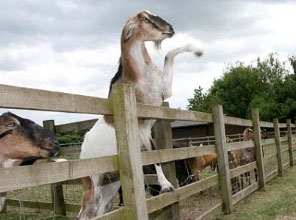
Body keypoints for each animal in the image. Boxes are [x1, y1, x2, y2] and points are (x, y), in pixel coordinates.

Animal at [76, 9, 204, 219]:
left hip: (110, 184)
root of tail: (82, 151)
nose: (170, 29)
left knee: (98, 210)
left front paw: (197, 49)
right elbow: (154, 153)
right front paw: (166, 186)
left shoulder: (163, 92)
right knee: (86, 212)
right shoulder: (141, 128)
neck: (139, 77)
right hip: (92, 181)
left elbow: (169, 54)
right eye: (144, 18)